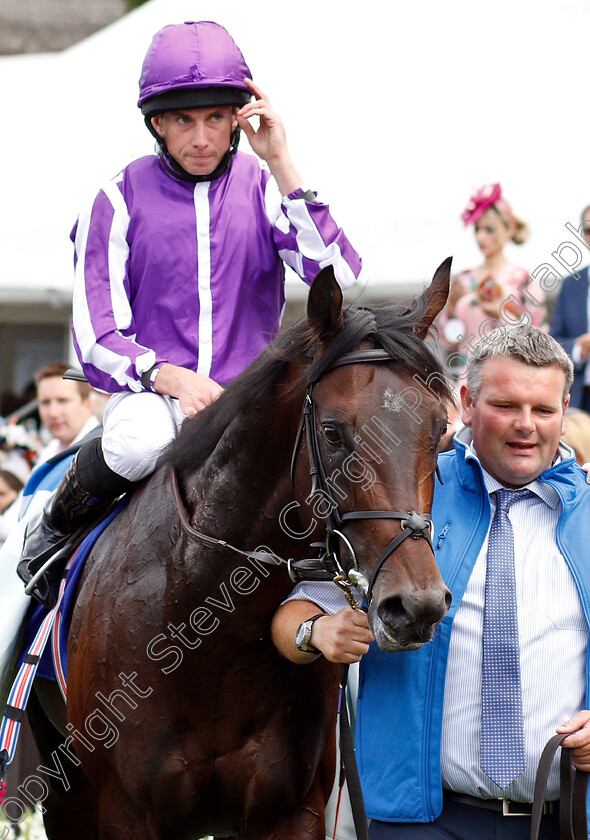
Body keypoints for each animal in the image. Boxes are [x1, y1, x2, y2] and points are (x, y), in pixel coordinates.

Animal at [26, 260, 454, 836]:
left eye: (441, 429)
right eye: (333, 432)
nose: (416, 605)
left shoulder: (292, 809)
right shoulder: (125, 810)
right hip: (65, 786)